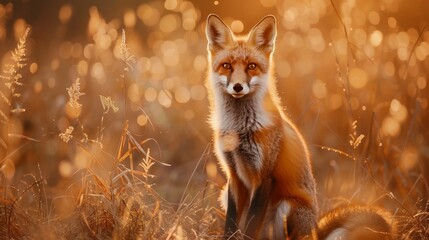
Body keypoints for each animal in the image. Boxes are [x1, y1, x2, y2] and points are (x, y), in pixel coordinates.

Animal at [204, 13, 394, 240]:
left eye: (251, 66)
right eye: (226, 66)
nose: (238, 87)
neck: (240, 129)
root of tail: (314, 230)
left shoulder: (265, 175)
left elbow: (250, 226)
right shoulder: (232, 175)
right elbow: (231, 225)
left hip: (286, 207)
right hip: (224, 193)